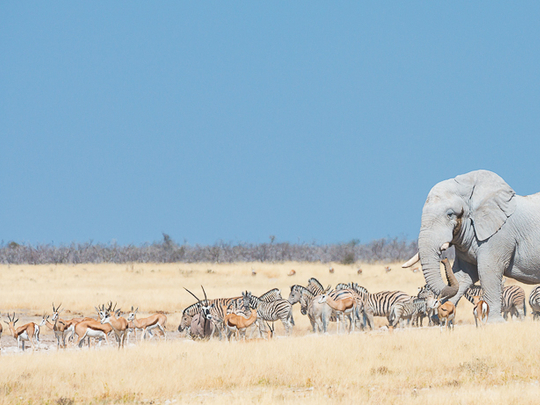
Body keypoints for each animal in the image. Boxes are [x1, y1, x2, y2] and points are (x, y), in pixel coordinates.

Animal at [402, 169, 540, 320]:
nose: (444, 259)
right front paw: (439, 319)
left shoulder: (499, 235)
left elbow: (488, 270)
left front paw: (494, 322)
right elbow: (462, 275)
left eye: (450, 214)